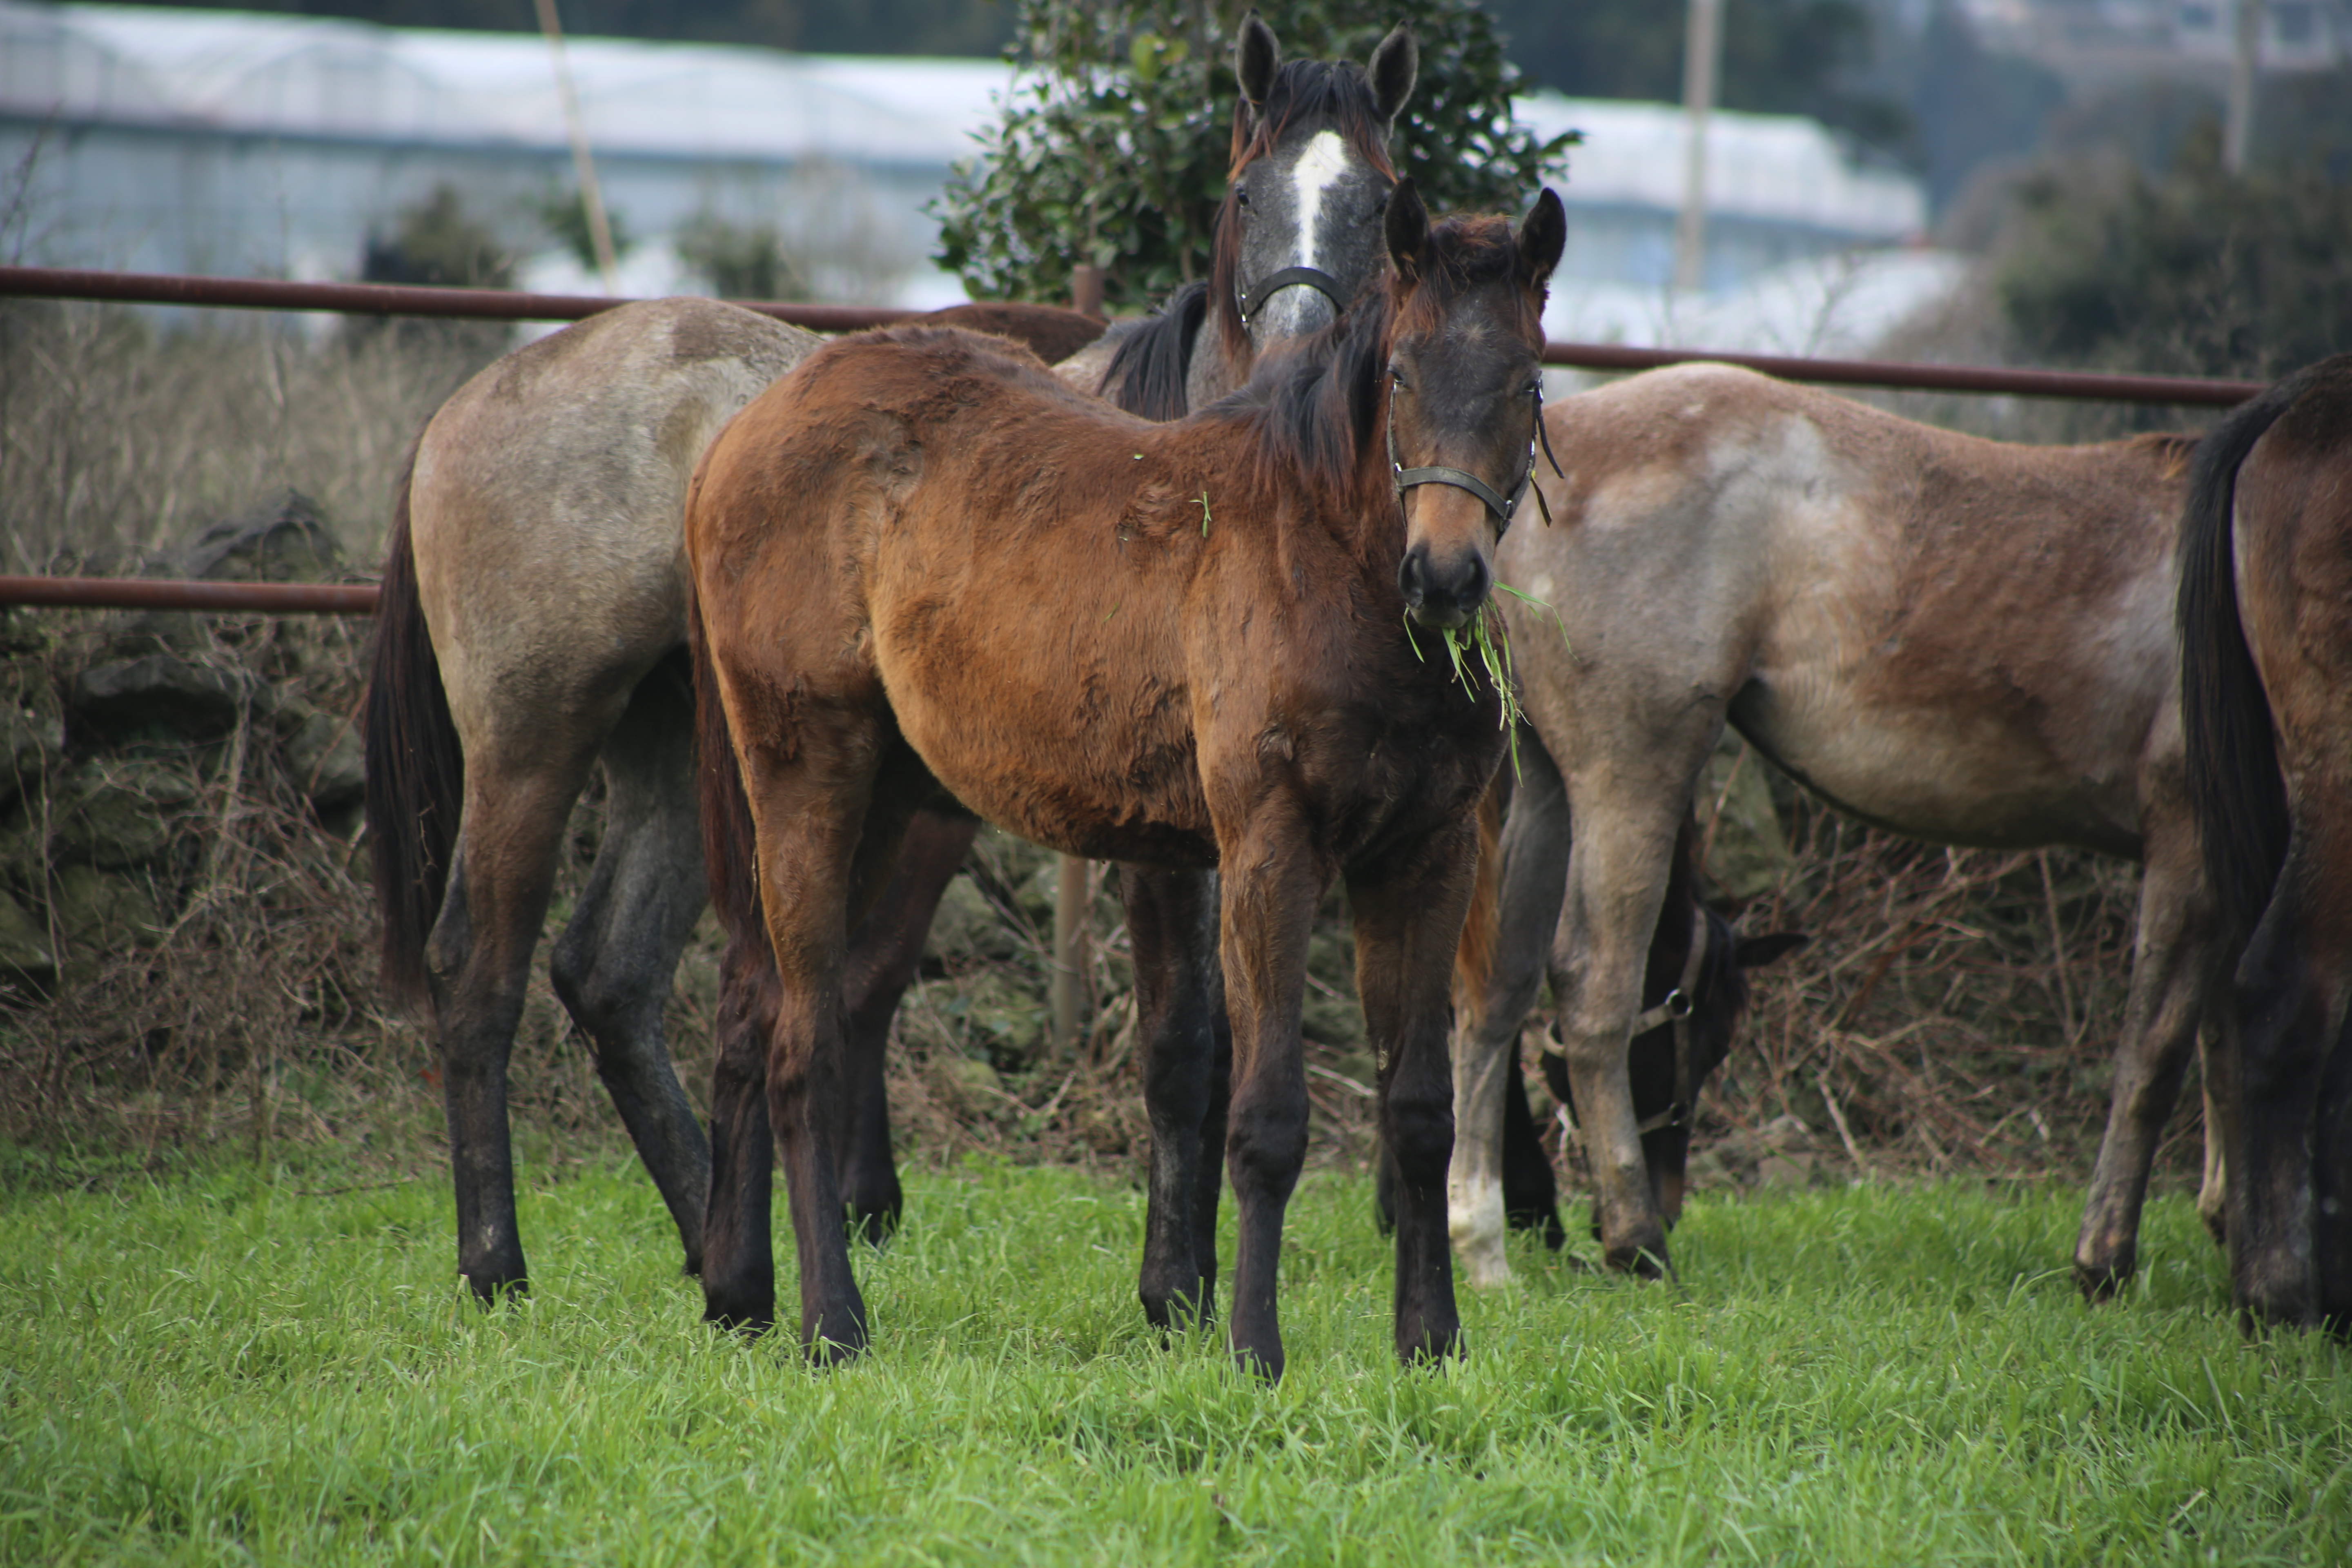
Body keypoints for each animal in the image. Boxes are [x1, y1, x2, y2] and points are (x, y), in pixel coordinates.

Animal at [367, 294, 1100, 1297]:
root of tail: (459, 410)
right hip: (532, 740)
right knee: (478, 969)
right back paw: (497, 1268)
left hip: (681, 758)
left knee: (611, 976)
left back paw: (716, 1244)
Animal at [682, 190, 1561, 1382]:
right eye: (1403, 374)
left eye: (1527, 382)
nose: (1444, 578)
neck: (1318, 557)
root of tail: (739, 433)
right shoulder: (1270, 848)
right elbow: (1265, 1115)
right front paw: (1252, 1347)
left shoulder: (1424, 856)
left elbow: (1419, 1109)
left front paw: (1431, 1341)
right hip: (807, 774)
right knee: (801, 1044)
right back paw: (833, 1323)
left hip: (883, 795)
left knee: (749, 1003)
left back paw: (739, 1294)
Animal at [1458, 362, 2211, 1297]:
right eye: (1712, 1040)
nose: (1672, 1199)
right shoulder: (2192, 839)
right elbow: (2165, 1050)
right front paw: (2121, 1257)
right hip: (1626, 769)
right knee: (1593, 982)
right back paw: (1633, 1240)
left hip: (1544, 780)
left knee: (1498, 989)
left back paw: (1482, 1237)